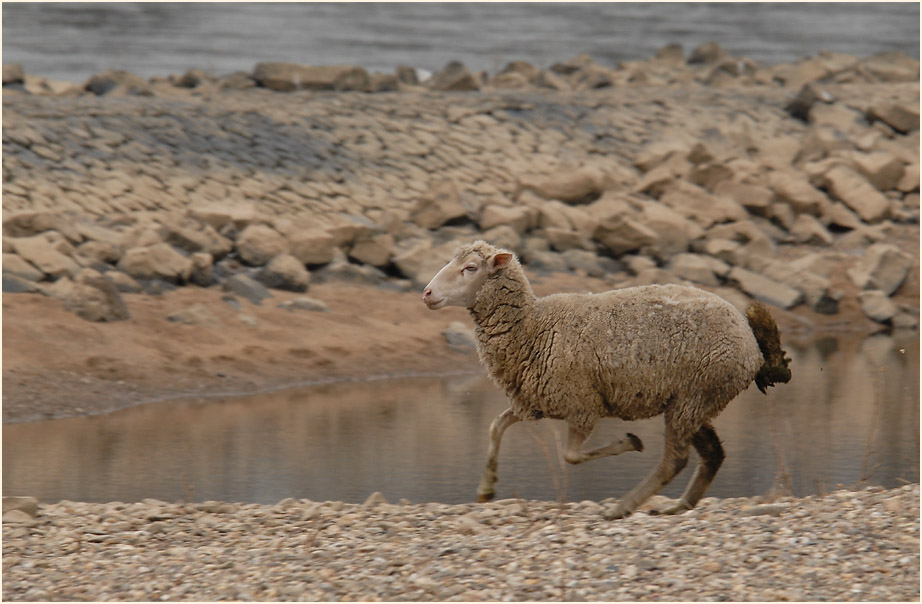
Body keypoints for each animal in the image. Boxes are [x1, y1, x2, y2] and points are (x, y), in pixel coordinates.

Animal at [424, 241, 792, 520]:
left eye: (471, 268)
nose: (426, 293)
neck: (533, 327)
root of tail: (752, 342)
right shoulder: (535, 401)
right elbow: (495, 427)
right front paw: (486, 488)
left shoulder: (582, 405)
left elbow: (571, 456)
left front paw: (629, 442)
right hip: (694, 402)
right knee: (712, 455)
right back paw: (676, 507)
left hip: (694, 397)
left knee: (674, 460)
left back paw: (622, 507)